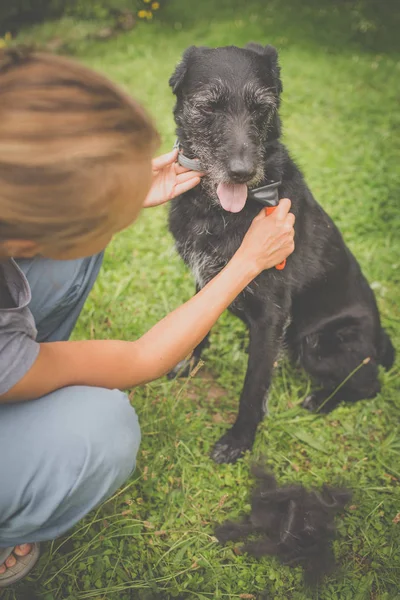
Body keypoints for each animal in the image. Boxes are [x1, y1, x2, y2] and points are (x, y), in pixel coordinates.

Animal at [167, 43, 396, 464]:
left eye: (262, 108)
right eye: (209, 106)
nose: (241, 173)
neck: (220, 210)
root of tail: (380, 339)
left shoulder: (272, 312)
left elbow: (253, 387)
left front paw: (239, 441)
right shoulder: (205, 280)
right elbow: (199, 329)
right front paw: (188, 365)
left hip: (320, 344)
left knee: (369, 382)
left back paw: (321, 400)